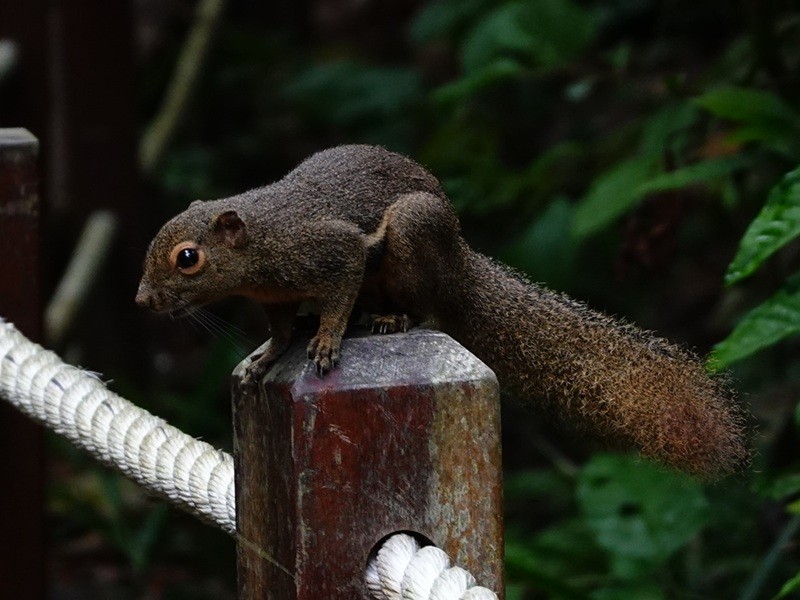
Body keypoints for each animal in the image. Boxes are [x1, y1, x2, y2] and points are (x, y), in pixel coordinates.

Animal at [136, 144, 747, 477]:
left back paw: (393, 319)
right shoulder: (275, 298)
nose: (142, 300)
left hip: (414, 235)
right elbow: (282, 326)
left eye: (187, 258)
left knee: (425, 307)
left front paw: (327, 340)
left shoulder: (331, 249)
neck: (261, 244)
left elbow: (338, 292)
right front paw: (267, 355)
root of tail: (461, 262)